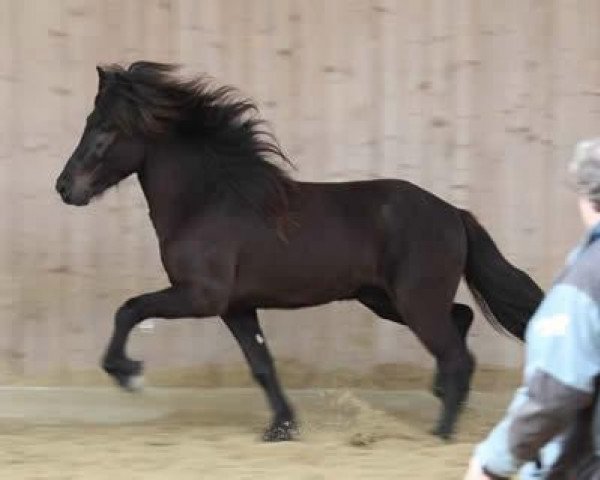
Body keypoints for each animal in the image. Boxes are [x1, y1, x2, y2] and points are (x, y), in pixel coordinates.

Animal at [56, 62, 544, 440]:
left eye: (104, 129)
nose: (64, 187)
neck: (207, 200)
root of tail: (454, 213)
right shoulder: (235, 306)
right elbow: (261, 364)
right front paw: (282, 426)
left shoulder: (200, 296)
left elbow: (130, 309)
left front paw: (128, 373)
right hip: (385, 299)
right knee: (459, 321)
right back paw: (442, 399)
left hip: (414, 302)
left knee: (457, 354)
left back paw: (441, 431)